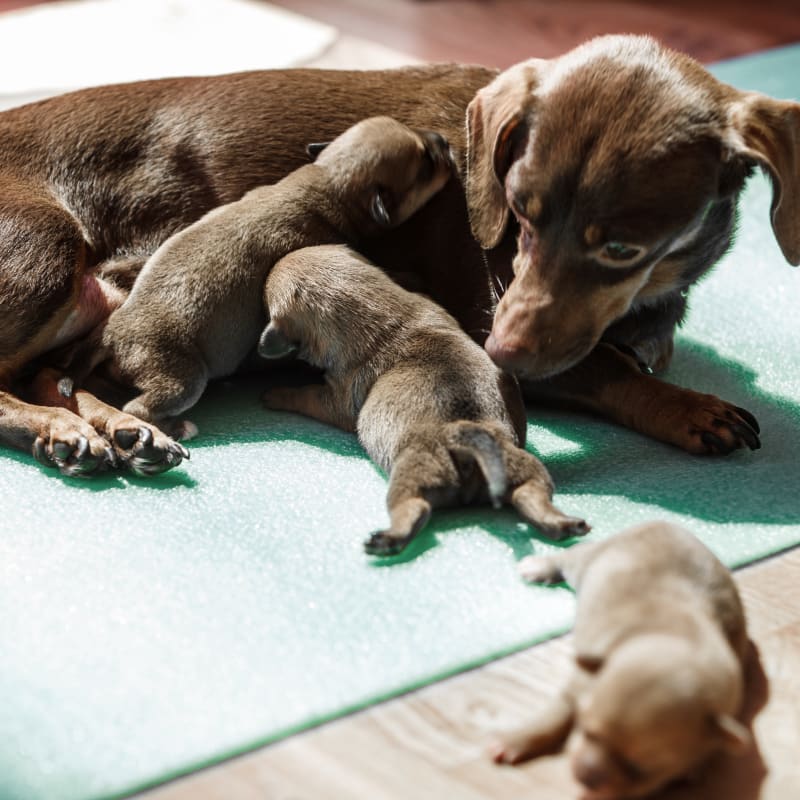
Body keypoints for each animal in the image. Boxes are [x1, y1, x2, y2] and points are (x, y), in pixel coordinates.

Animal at [65, 116, 454, 440]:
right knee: (140, 407)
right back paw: (177, 428)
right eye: (425, 163)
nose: (445, 140)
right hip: (181, 378)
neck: (326, 180)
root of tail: (113, 333)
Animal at [490, 520, 752, 796]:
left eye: (639, 770)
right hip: (588, 561)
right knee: (572, 554)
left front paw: (696, 767)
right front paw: (515, 739)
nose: (585, 778)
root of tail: (663, 522)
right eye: (586, 729)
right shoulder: (582, 680)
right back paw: (538, 565)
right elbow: (558, 710)